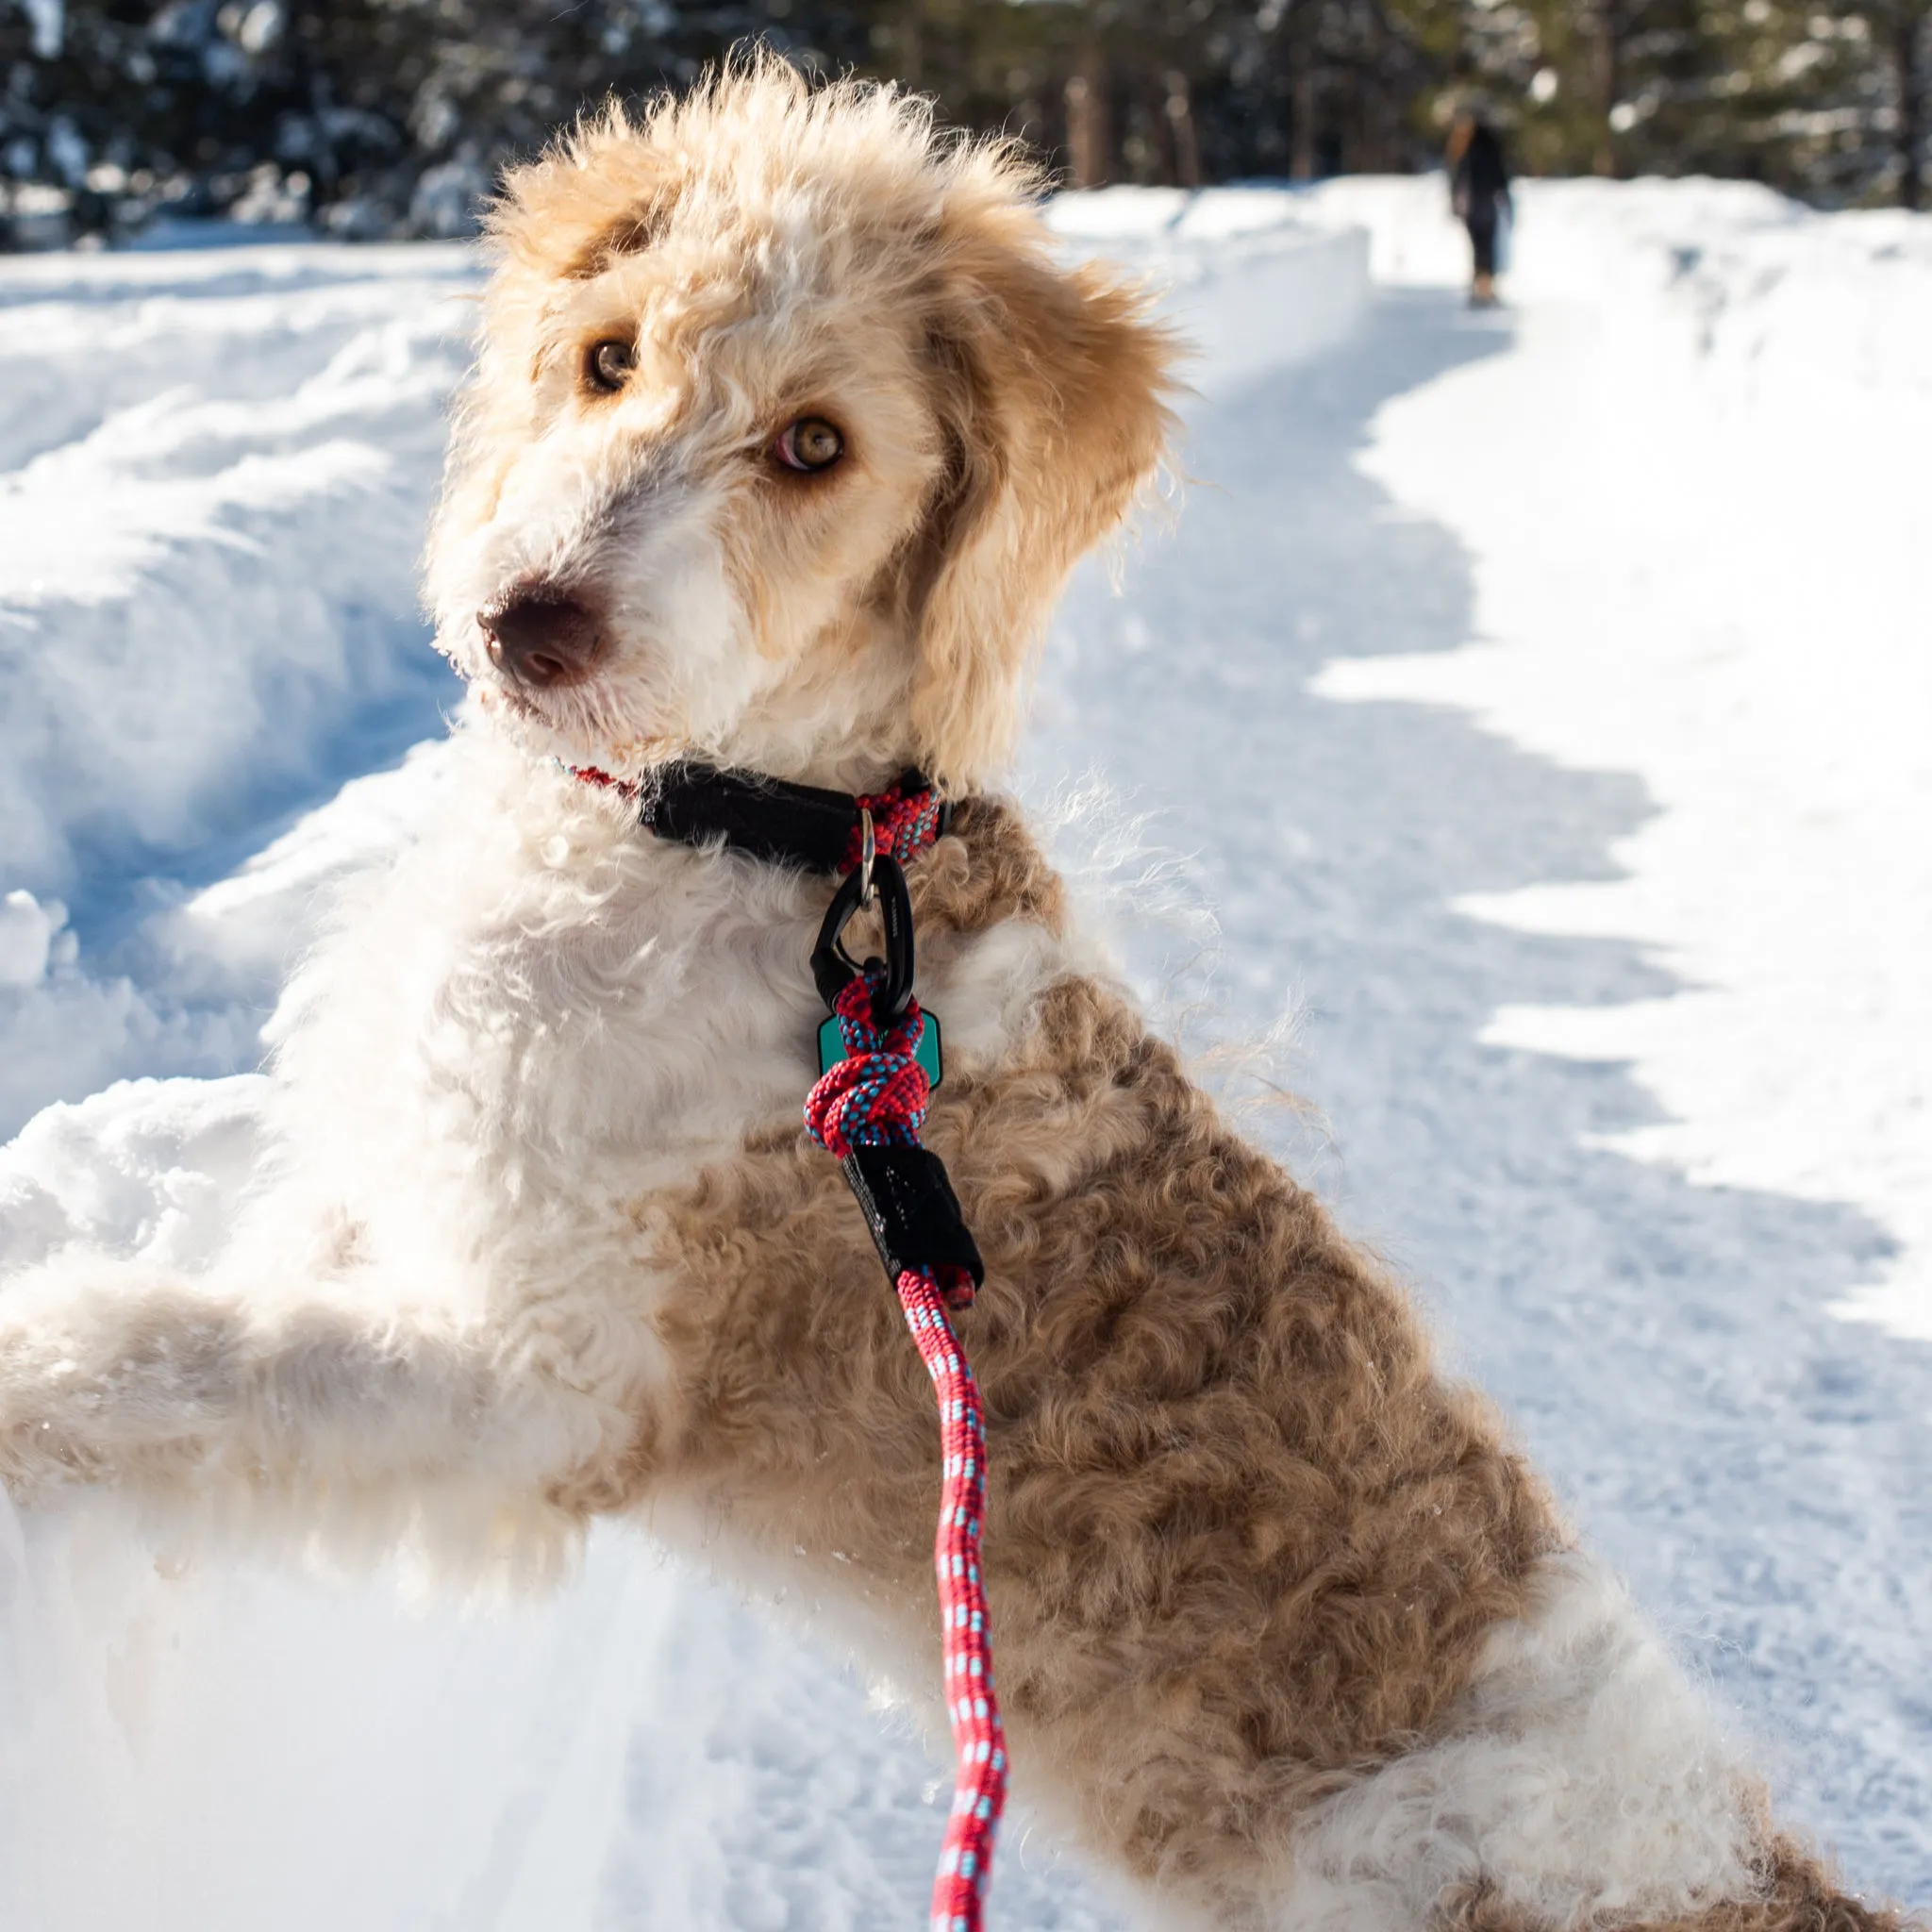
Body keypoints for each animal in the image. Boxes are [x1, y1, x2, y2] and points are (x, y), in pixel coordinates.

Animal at [0, 56, 1908, 1932]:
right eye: (609, 355)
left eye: (814, 445)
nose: (526, 623)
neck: (752, 832)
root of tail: (1744, 1861)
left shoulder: (553, 1378)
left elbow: (206, 1354)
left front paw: (37, 1361)